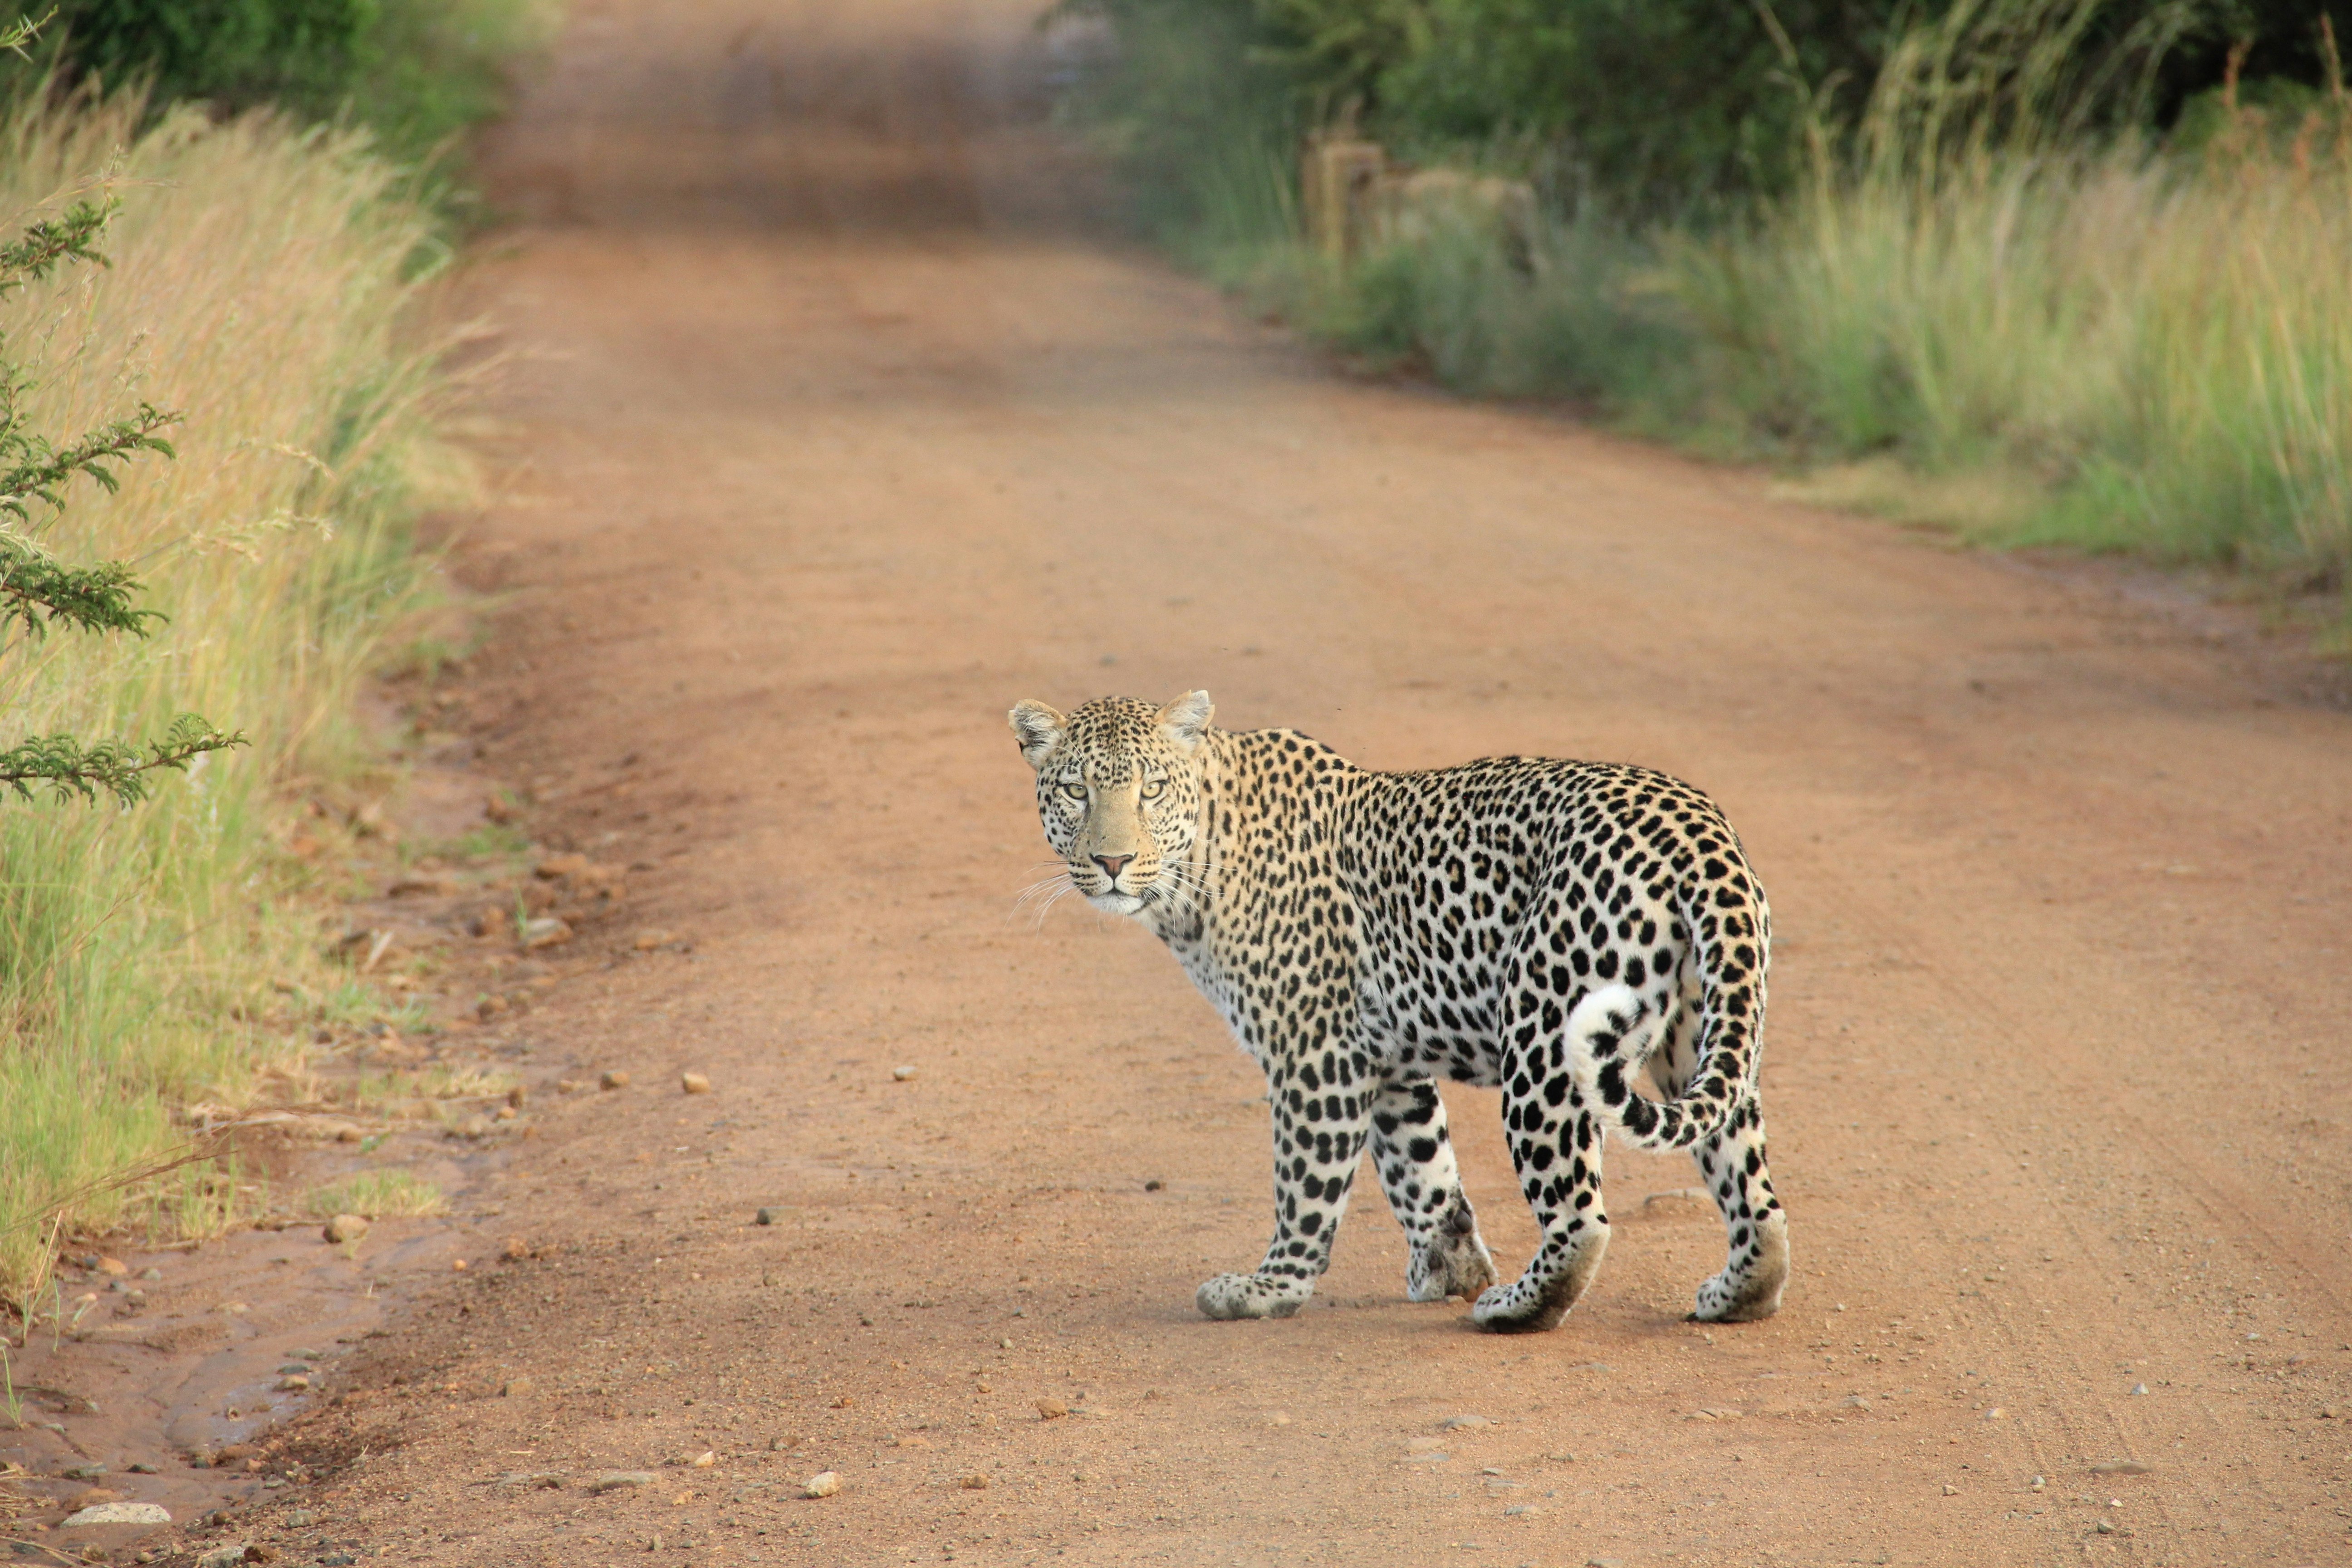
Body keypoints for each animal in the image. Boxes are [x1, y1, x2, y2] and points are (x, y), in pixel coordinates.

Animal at [1002, 691, 1787, 1335]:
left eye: (1152, 789)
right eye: (1075, 791)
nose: (1112, 862)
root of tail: (1698, 831)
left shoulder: (1314, 1053)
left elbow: (1306, 1186)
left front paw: (1269, 1290)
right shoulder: (1385, 1059)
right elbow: (1423, 1170)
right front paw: (1450, 1267)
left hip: (1545, 1039)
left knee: (1580, 1218)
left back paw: (1515, 1307)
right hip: (1701, 1035)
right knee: (1753, 1190)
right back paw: (1737, 1294)